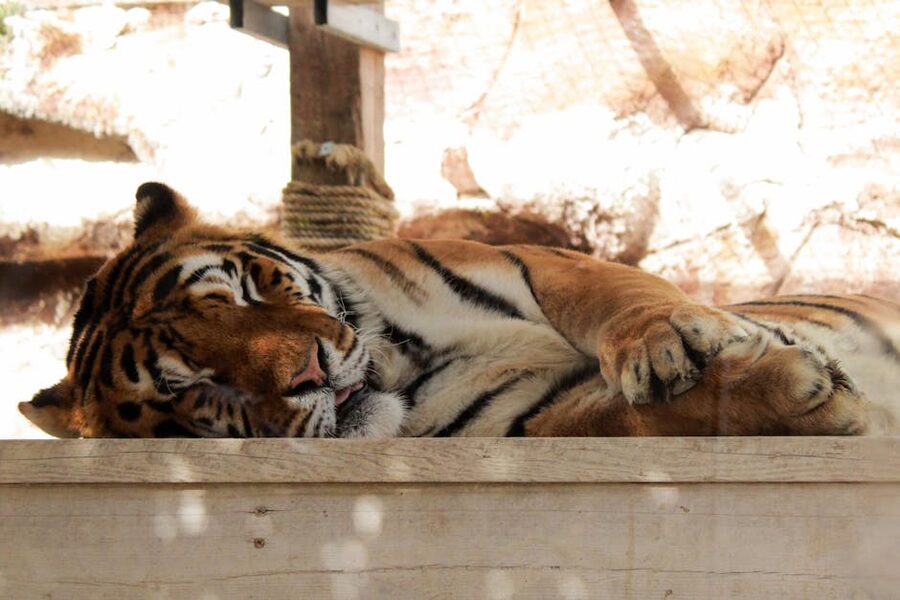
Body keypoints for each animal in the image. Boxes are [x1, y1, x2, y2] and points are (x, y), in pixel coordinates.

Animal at [19, 182, 899, 439]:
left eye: (238, 293)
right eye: (194, 387)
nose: (309, 373)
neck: (401, 361)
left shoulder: (539, 261)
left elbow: (624, 302)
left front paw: (675, 337)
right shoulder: (530, 415)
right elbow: (638, 416)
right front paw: (804, 389)